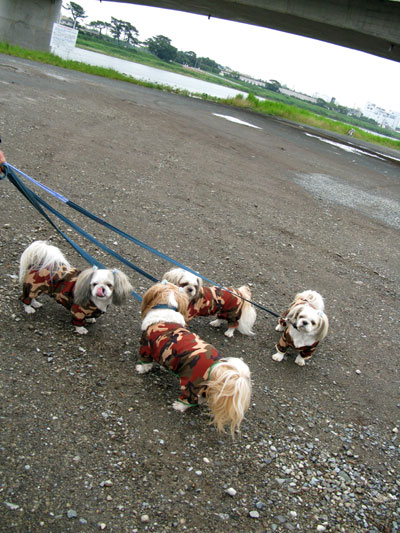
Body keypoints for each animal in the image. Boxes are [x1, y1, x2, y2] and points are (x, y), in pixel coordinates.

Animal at [136, 280, 252, 434]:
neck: (166, 309)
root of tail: (215, 366)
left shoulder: (146, 347)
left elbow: (145, 363)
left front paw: (140, 368)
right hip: (203, 386)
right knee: (201, 397)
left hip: (189, 384)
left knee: (189, 399)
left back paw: (179, 406)